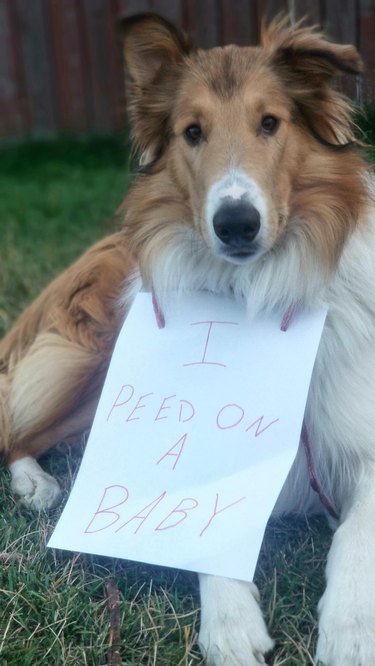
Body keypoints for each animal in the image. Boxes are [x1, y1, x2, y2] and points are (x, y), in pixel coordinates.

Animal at [0, 10, 375, 664]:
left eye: (270, 122)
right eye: (192, 132)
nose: (236, 223)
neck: (256, 291)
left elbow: (357, 531)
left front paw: (350, 629)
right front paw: (230, 626)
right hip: (89, 359)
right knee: (13, 428)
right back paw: (37, 485)